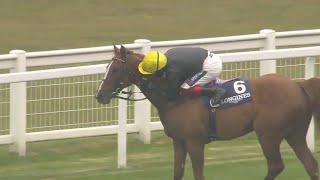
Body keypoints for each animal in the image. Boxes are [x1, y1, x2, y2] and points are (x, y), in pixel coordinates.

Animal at [95, 45, 318, 180]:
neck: (174, 99)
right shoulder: (179, 141)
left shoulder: (195, 142)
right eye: (107, 67)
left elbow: (197, 173)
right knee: (310, 164)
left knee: (275, 165)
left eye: (115, 70)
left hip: (268, 134)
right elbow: (178, 171)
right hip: (294, 133)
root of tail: (298, 85)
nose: (100, 95)